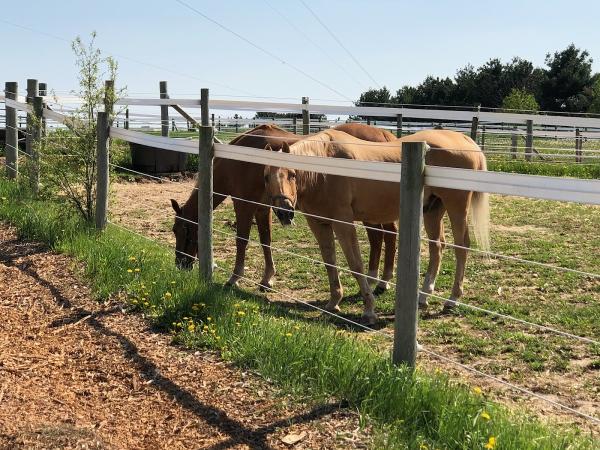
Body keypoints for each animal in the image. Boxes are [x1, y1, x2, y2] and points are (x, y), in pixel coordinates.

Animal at [171, 121, 400, 290]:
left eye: (185, 231)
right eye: (174, 230)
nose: (180, 264)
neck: (236, 161)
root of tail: (385, 135)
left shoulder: (244, 205)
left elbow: (242, 241)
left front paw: (235, 277)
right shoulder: (263, 208)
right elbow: (266, 241)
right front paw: (267, 278)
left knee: (385, 235)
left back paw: (381, 281)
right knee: (381, 236)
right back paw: (375, 279)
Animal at [264, 129, 490, 324]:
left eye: (292, 174)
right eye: (266, 177)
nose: (284, 212)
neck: (324, 171)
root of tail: (465, 140)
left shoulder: (343, 222)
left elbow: (356, 265)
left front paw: (369, 310)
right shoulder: (319, 224)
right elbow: (330, 261)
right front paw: (334, 302)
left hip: (456, 206)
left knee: (462, 247)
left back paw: (452, 300)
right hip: (433, 210)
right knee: (437, 247)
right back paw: (423, 296)